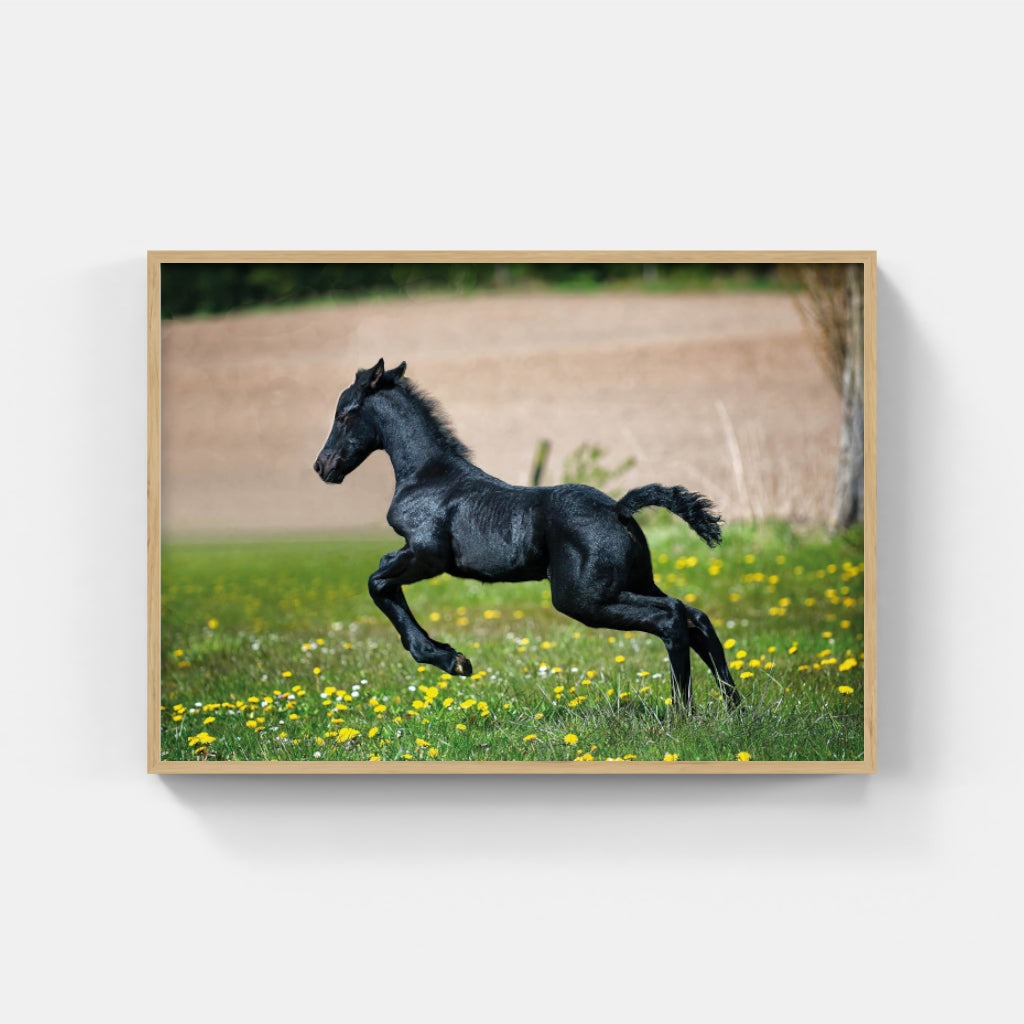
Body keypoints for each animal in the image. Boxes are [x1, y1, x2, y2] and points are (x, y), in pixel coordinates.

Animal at [314, 359, 740, 713]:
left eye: (344, 415)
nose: (322, 466)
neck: (428, 476)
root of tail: (619, 509)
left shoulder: (427, 555)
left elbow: (377, 581)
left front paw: (451, 660)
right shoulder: (414, 554)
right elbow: (384, 577)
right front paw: (449, 656)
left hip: (584, 598)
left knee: (672, 617)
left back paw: (682, 711)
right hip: (632, 582)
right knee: (695, 616)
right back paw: (734, 707)